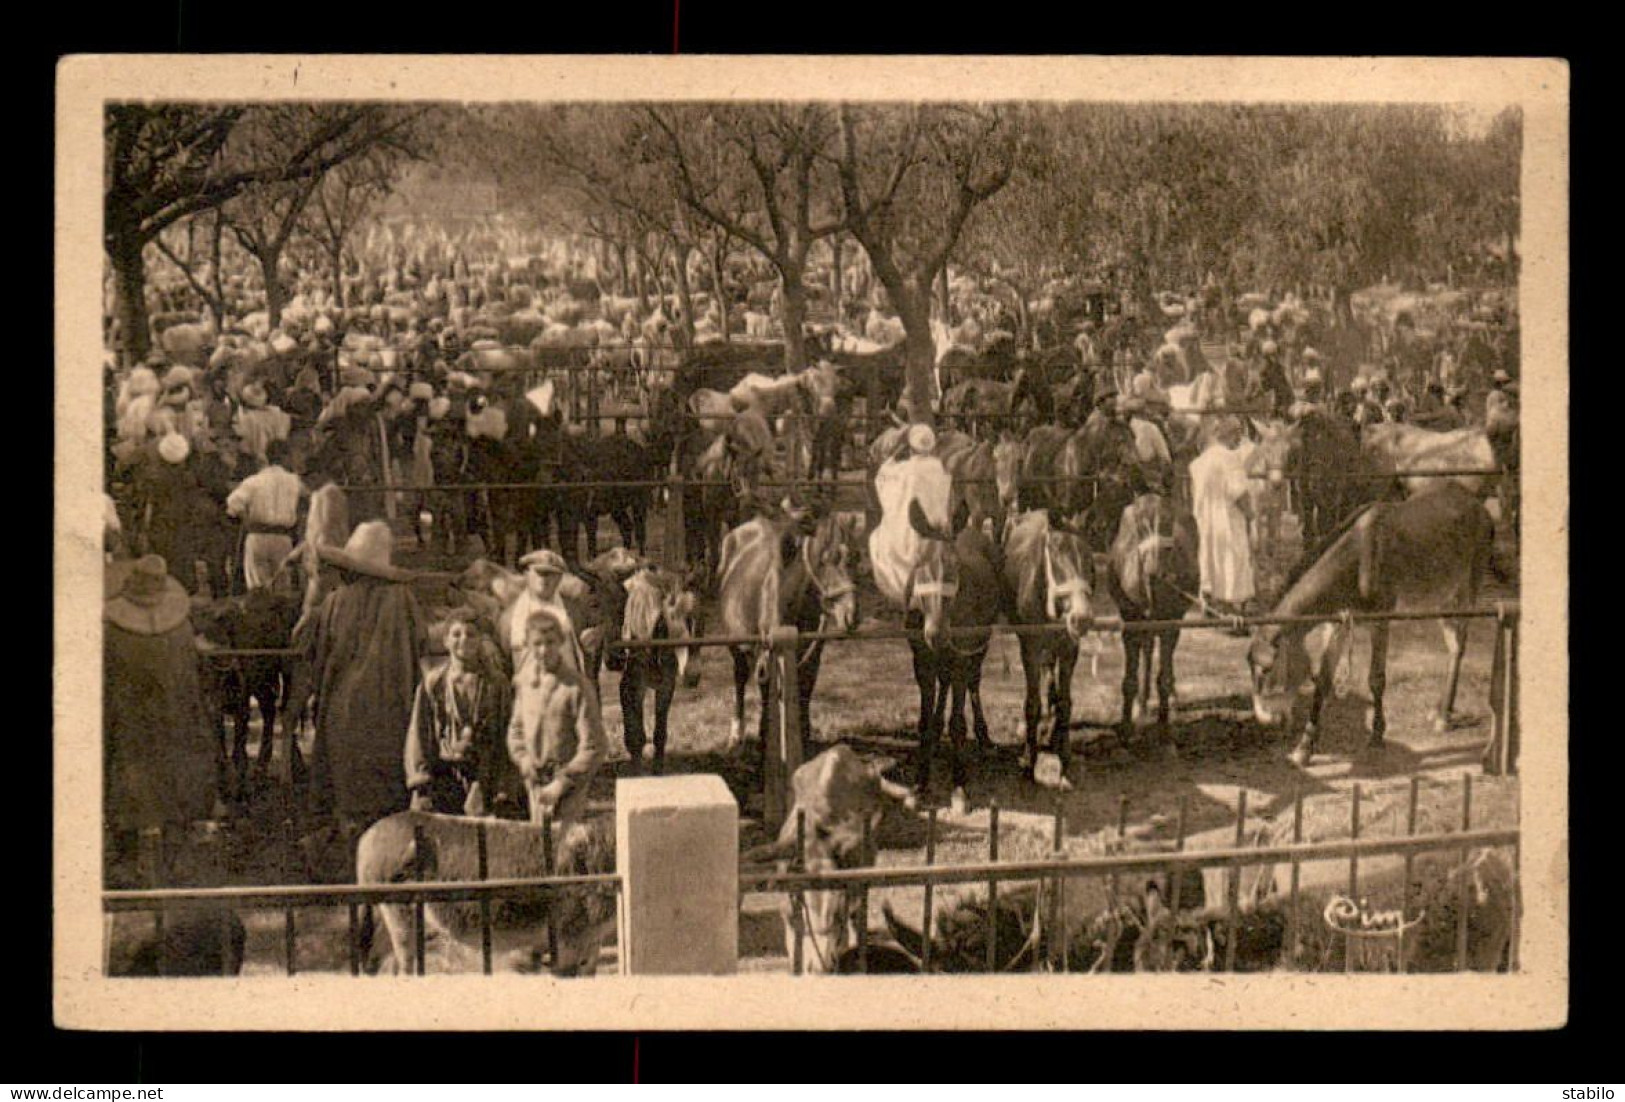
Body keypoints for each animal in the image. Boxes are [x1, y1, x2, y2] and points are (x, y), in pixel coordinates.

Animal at [715, 503, 858, 773]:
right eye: (825, 561)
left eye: (854, 558)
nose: (851, 615)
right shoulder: (767, 651)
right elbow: (767, 695)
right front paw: (765, 745)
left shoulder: (811, 655)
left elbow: (806, 689)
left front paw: (805, 735)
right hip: (738, 648)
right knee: (740, 680)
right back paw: (736, 737)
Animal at [994, 510, 1098, 786]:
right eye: (1056, 553)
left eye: (1088, 556)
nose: (1082, 618)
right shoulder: (1029, 648)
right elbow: (1032, 704)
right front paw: (1028, 762)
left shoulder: (1069, 647)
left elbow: (1065, 703)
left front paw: (1064, 757)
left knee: (1050, 676)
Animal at [1111, 494, 1202, 747]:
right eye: (1138, 528)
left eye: (1169, 548)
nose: (1157, 574)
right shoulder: (1130, 620)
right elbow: (1130, 678)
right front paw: (1127, 727)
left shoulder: (1170, 621)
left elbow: (1165, 676)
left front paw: (1164, 728)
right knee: (1148, 648)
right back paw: (1141, 707)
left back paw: (1168, 702)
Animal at [1241, 484, 1495, 767]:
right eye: (1250, 667)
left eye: (1267, 669)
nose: (1265, 720)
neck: (1358, 557)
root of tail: (1475, 503)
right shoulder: (1338, 623)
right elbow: (1323, 681)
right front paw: (1305, 747)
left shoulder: (1381, 620)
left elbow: (1376, 679)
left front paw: (1376, 735)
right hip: (1444, 596)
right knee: (1452, 646)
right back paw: (1442, 710)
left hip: (1468, 588)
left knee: (1459, 647)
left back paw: (1443, 717)